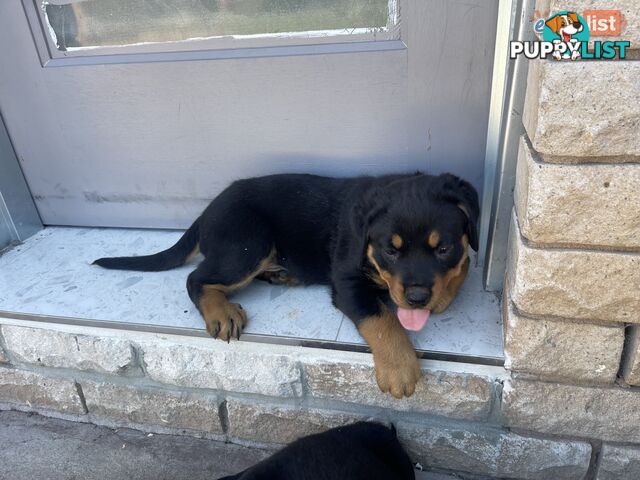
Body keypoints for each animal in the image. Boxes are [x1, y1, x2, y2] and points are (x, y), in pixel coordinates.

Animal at [94, 172, 476, 398]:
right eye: (390, 250)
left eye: (443, 248)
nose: (417, 297)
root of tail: (205, 212)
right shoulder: (346, 280)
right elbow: (381, 320)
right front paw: (400, 368)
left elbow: (466, 264)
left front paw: (443, 292)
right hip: (248, 241)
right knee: (196, 278)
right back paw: (221, 312)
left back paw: (283, 273)